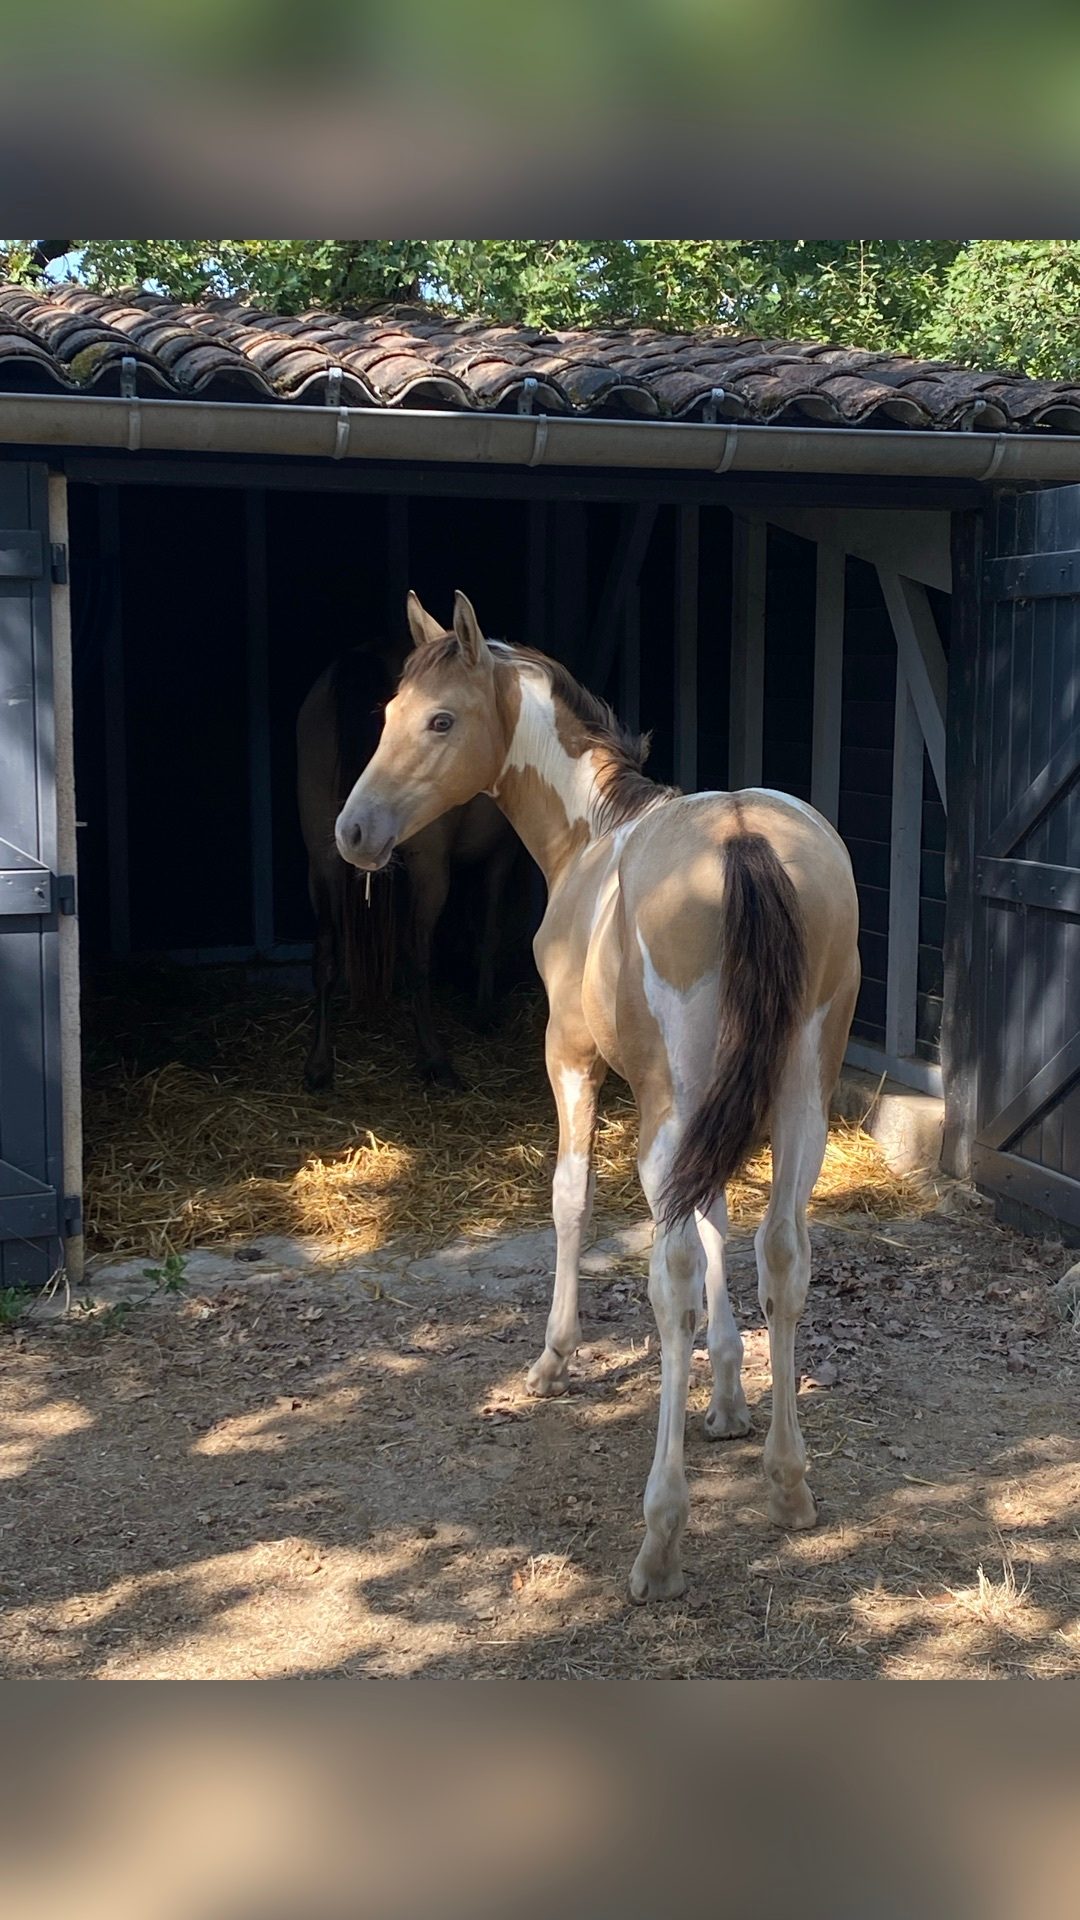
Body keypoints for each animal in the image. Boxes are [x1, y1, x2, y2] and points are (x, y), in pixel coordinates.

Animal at [296, 635, 518, 1092]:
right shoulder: (500, 855)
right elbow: (488, 928)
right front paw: (484, 1011)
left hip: (321, 861)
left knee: (325, 951)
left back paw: (319, 1064)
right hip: (428, 867)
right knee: (417, 953)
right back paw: (435, 1058)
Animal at [334, 589, 861, 1603]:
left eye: (441, 720)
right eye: (384, 713)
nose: (354, 833)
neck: (593, 832)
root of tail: (743, 837)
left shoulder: (571, 1060)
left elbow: (572, 1202)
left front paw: (554, 1356)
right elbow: (719, 1220)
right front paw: (729, 1399)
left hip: (675, 1099)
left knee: (674, 1281)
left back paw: (660, 1538)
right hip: (799, 1099)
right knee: (783, 1256)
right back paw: (788, 1486)